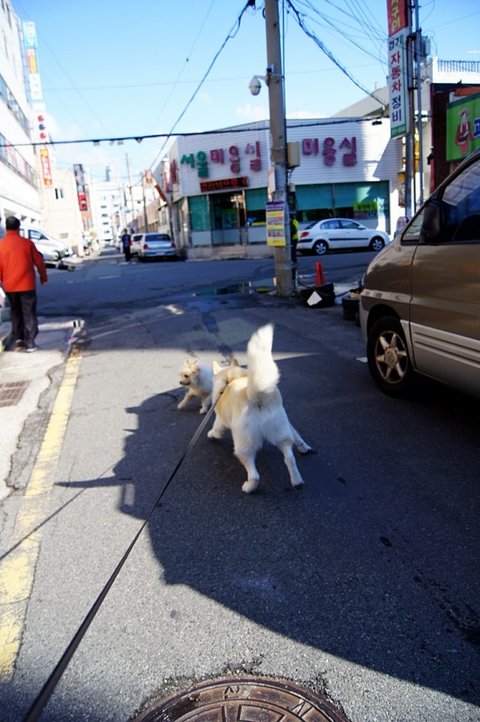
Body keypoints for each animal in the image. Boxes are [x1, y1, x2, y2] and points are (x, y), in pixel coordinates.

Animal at [207, 323, 311, 493]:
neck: (231, 378)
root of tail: (258, 396)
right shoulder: (287, 426)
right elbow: (297, 435)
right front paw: (304, 447)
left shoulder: (220, 419)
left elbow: (216, 428)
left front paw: (211, 435)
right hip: (280, 432)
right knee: (289, 457)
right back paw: (297, 481)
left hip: (243, 447)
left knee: (255, 474)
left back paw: (249, 487)